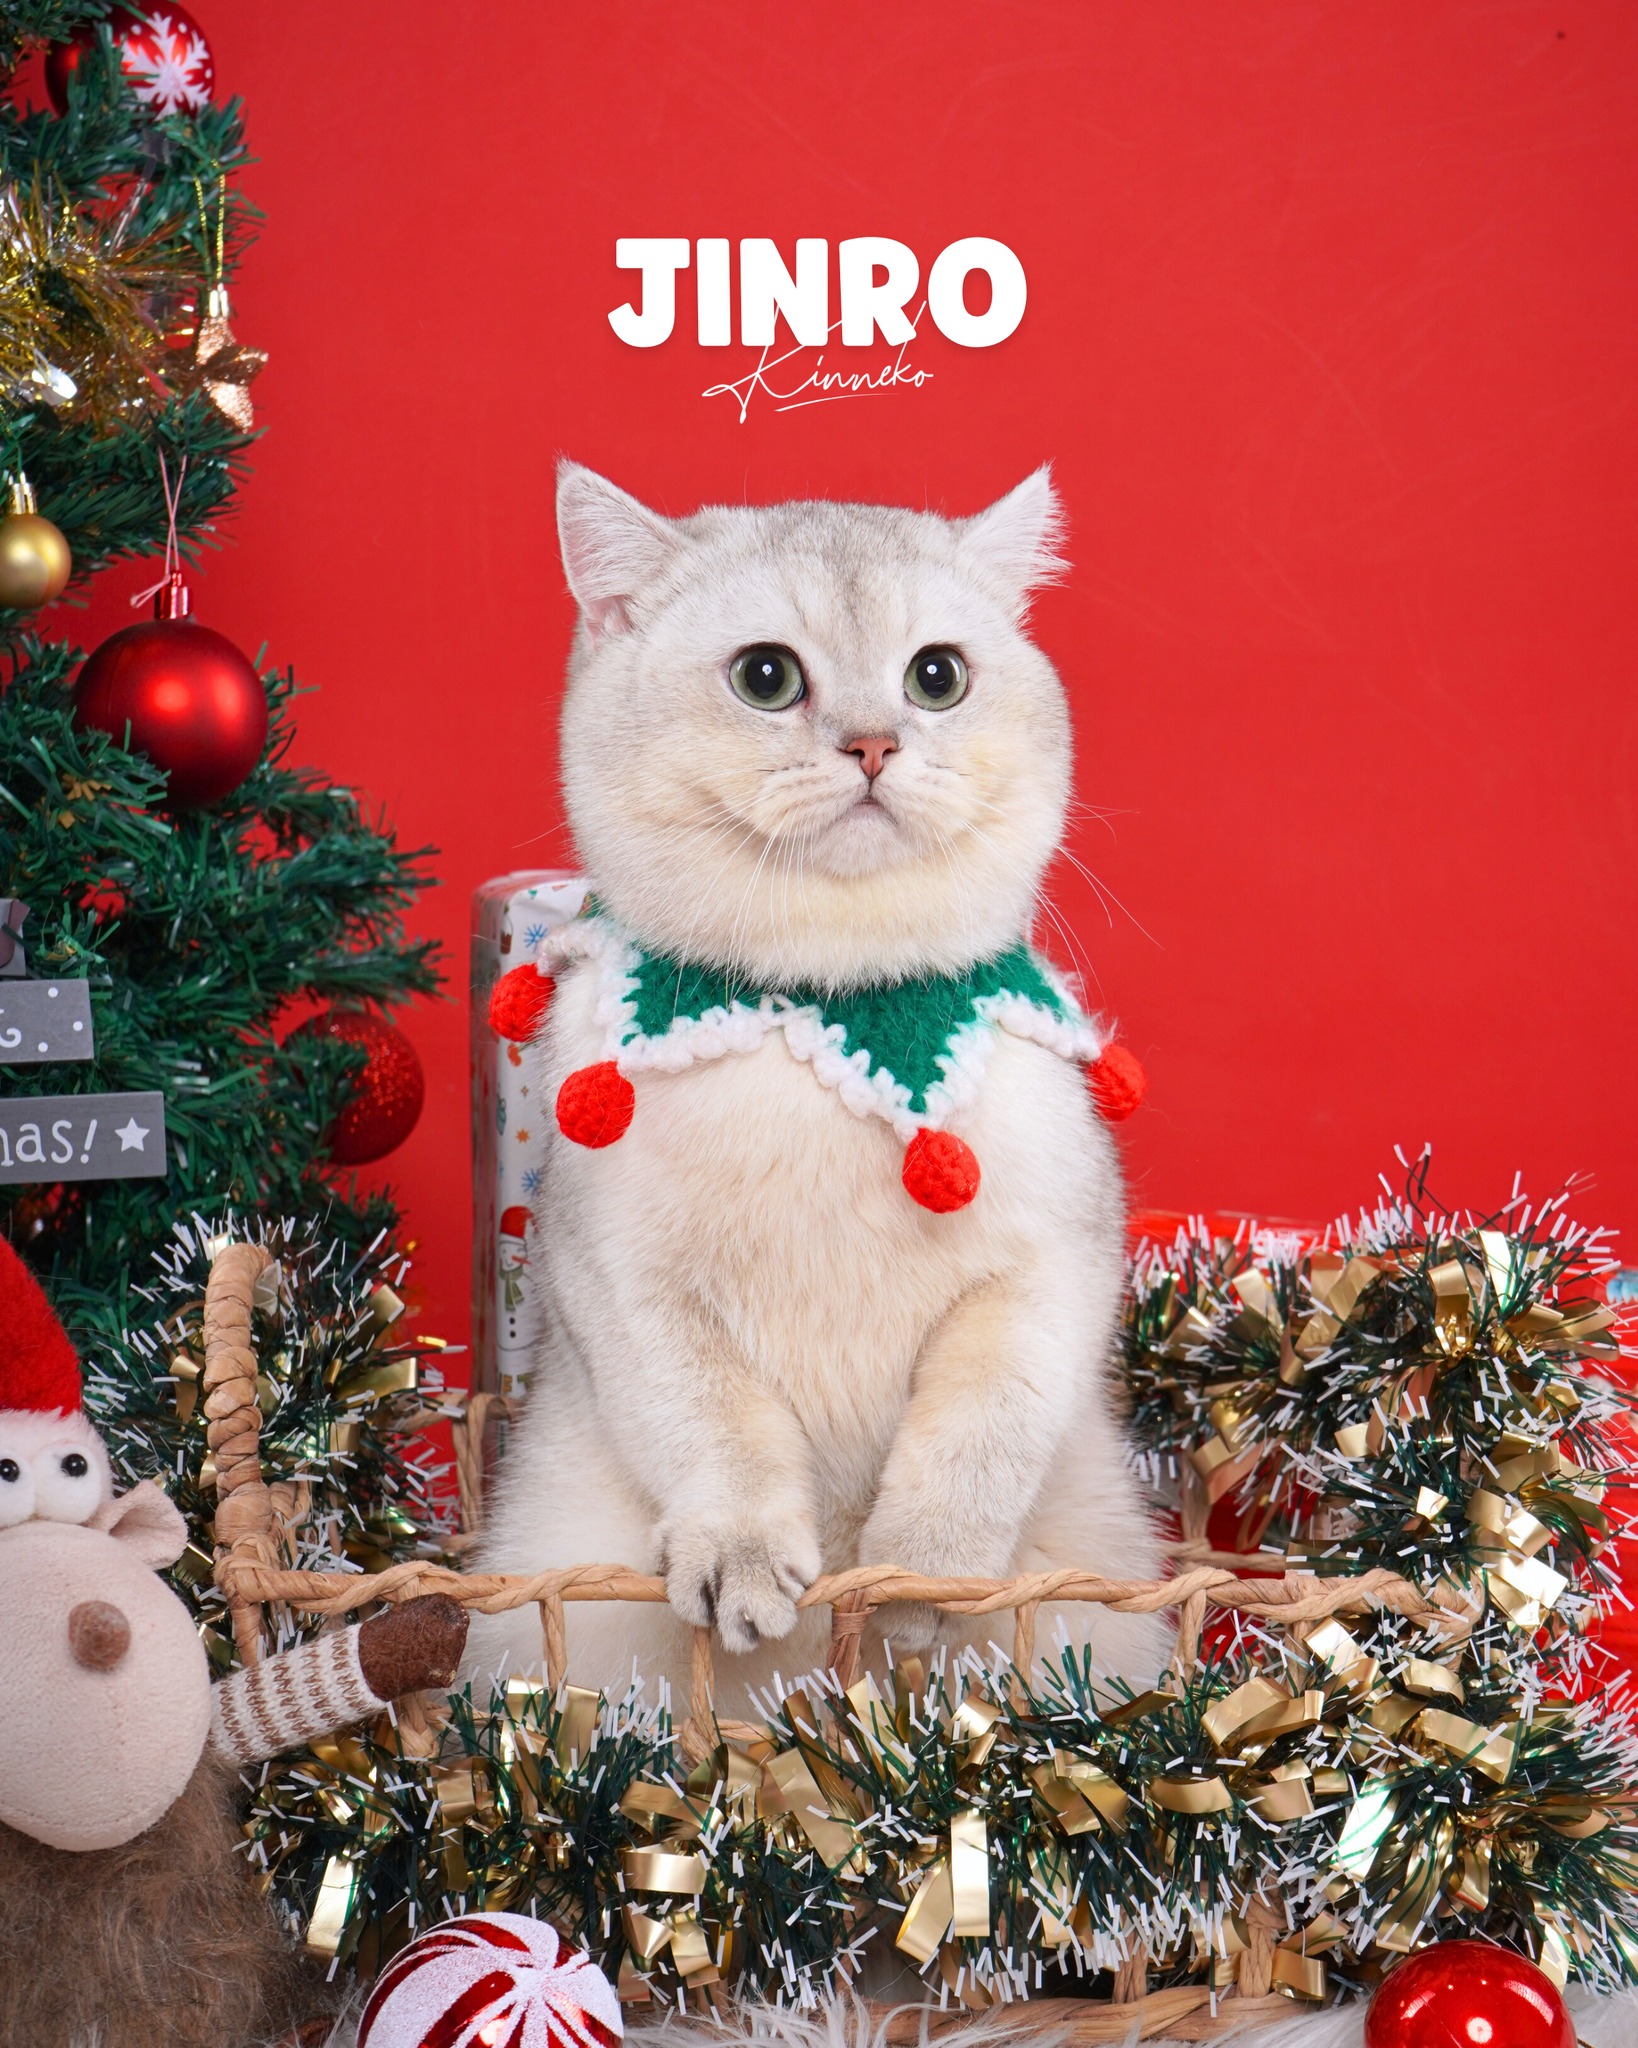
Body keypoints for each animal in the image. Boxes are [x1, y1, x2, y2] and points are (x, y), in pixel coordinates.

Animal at [466, 461, 1170, 1709]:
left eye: (937, 677)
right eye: (766, 677)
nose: (876, 744)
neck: (833, 1009)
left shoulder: (1050, 1269)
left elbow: (977, 1436)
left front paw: (919, 1577)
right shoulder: (626, 1285)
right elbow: (719, 1432)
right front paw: (743, 1557)